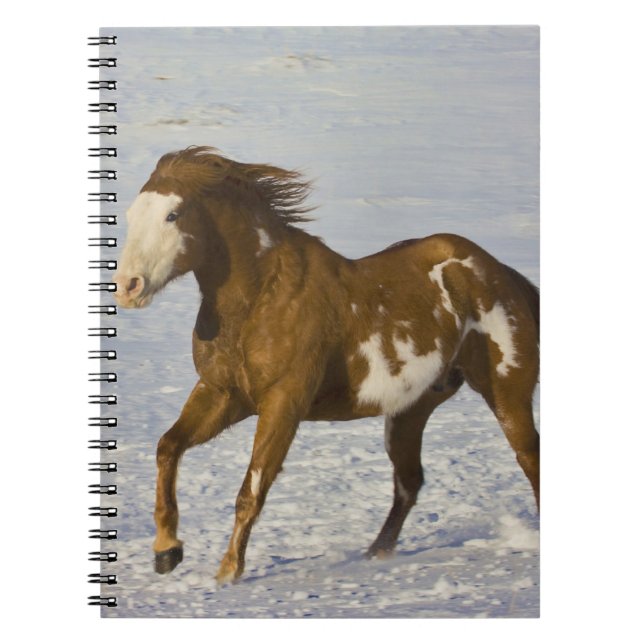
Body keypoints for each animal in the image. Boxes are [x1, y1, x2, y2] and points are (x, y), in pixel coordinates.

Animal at [113, 146, 540, 585]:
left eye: (173, 214)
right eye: (130, 213)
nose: (127, 286)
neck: (261, 297)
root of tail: (501, 273)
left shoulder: (283, 403)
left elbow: (252, 488)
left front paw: (228, 571)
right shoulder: (223, 393)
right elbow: (168, 447)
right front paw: (166, 550)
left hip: (506, 392)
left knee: (529, 459)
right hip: (410, 409)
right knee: (409, 481)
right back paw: (375, 553)